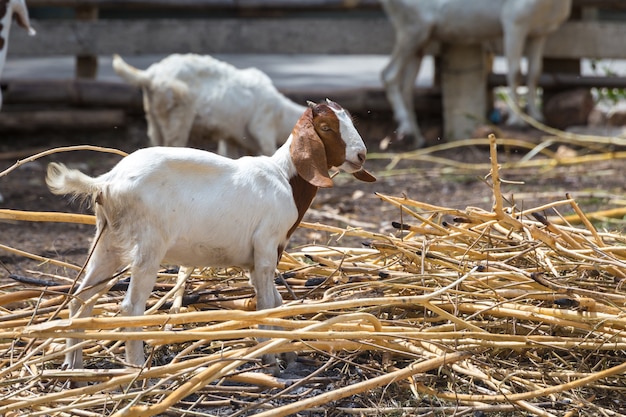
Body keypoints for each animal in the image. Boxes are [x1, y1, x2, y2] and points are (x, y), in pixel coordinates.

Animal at [114, 53, 308, 158]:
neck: (281, 114)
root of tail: (151, 74)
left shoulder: (233, 136)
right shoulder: (263, 127)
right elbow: (269, 152)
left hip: (154, 115)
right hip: (178, 112)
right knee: (173, 142)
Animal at [378, 0, 572, 146]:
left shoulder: (538, 32)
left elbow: (535, 71)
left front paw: (538, 118)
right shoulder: (514, 23)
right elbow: (516, 71)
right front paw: (517, 121)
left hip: (422, 39)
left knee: (406, 86)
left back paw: (418, 138)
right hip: (412, 29)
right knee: (389, 75)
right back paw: (408, 131)